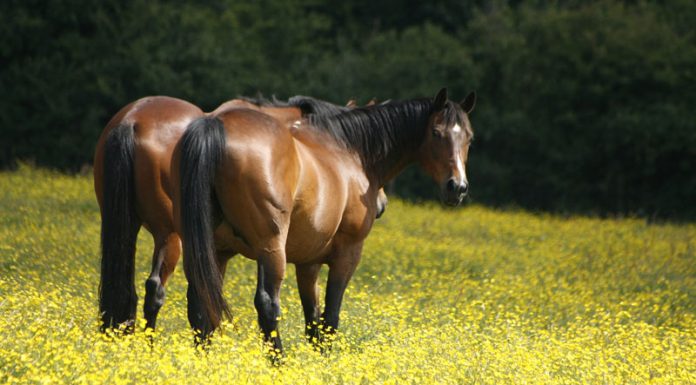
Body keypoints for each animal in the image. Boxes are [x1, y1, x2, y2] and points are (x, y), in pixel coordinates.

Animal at [173, 87, 476, 354]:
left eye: (469, 138)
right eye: (436, 133)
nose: (458, 187)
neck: (350, 152)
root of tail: (216, 125)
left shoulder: (308, 263)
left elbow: (313, 325)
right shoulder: (347, 255)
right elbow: (330, 320)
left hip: (214, 251)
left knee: (201, 304)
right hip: (271, 250)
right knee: (267, 305)